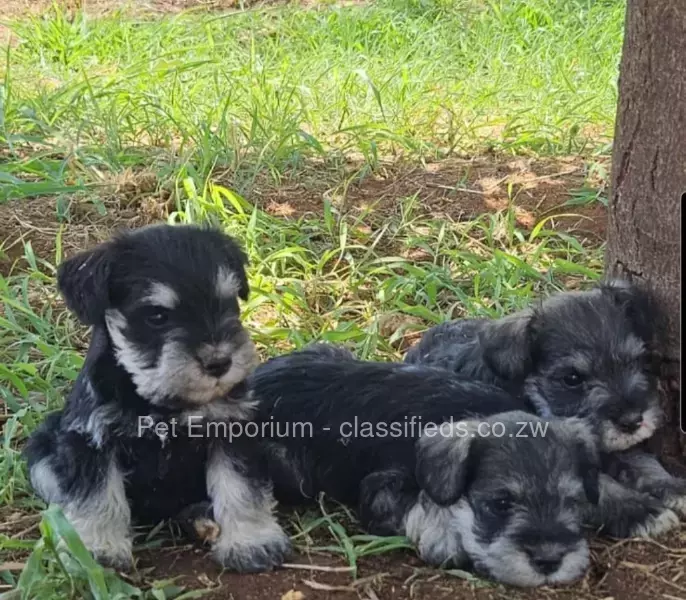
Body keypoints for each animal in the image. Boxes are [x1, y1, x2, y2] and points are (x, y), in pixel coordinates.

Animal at [23, 224, 290, 572]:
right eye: (157, 317)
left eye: (228, 301)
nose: (219, 363)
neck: (161, 401)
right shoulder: (91, 438)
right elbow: (96, 496)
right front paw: (96, 550)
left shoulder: (231, 429)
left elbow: (241, 487)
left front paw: (252, 541)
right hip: (43, 448)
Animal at [404, 280, 686, 540]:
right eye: (571, 378)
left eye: (636, 361)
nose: (632, 421)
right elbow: (598, 488)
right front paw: (640, 510)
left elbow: (640, 459)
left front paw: (672, 485)